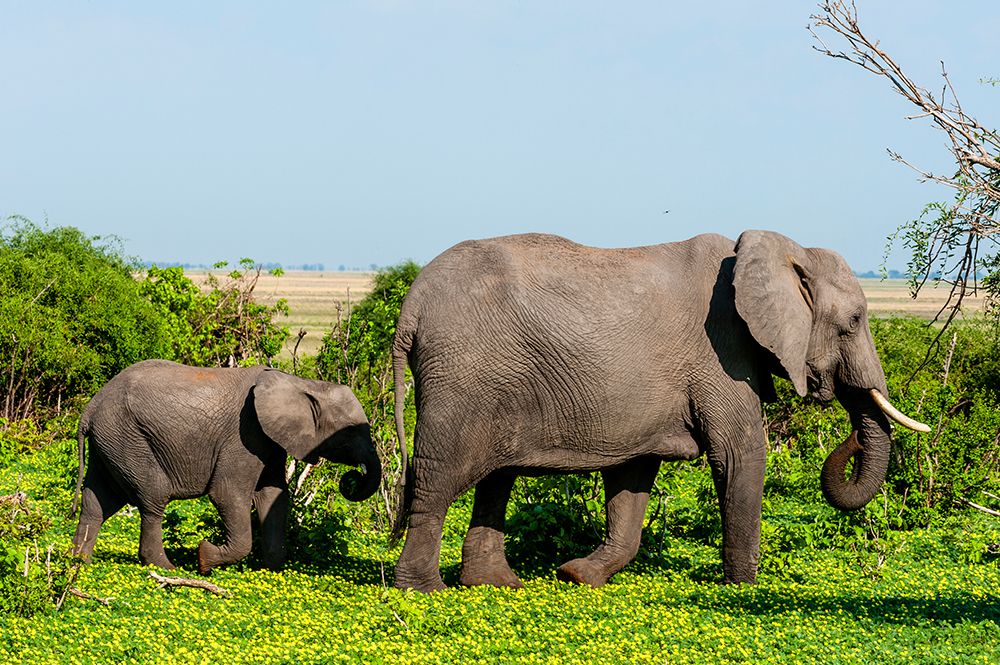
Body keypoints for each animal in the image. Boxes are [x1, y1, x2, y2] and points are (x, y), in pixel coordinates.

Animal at [71, 359, 379, 574]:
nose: (352, 479)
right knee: (153, 498)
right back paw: (165, 567)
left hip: (111, 441)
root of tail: (91, 407)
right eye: (352, 431)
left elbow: (275, 496)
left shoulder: (269, 441)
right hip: (128, 437)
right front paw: (204, 558)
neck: (303, 384)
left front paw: (273, 568)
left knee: (98, 501)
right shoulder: (244, 436)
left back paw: (77, 562)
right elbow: (228, 494)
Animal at [388, 231, 929, 592]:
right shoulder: (722, 355)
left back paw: (496, 585)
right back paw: (423, 590)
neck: (783, 251)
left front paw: (577, 575)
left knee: (495, 478)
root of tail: (410, 307)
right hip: (463, 376)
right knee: (440, 478)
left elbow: (632, 478)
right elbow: (740, 454)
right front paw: (741, 590)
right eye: (853, 321)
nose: (850, 438)